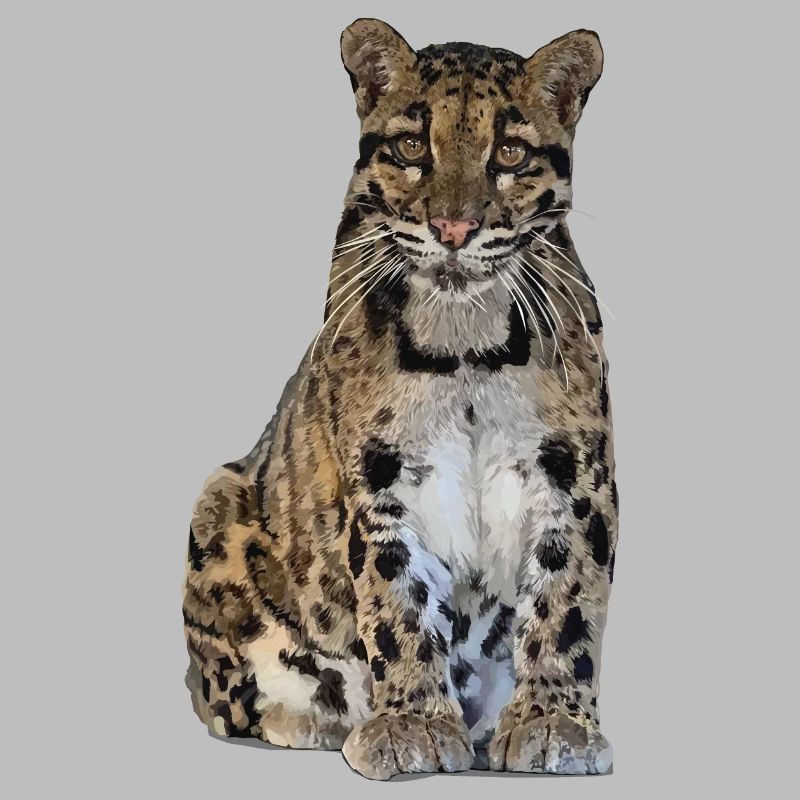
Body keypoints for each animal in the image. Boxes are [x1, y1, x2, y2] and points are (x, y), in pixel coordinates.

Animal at [182, 18, 617, 780]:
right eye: (414, 146)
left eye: (509, 152)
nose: (453, 229)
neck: (466, 344)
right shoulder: (379, 478)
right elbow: (397, 601)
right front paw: (412, 722)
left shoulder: (575, 474)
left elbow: (567, 599)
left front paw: (553, 721)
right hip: (218, 501)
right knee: (228, 698)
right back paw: (321, 718)